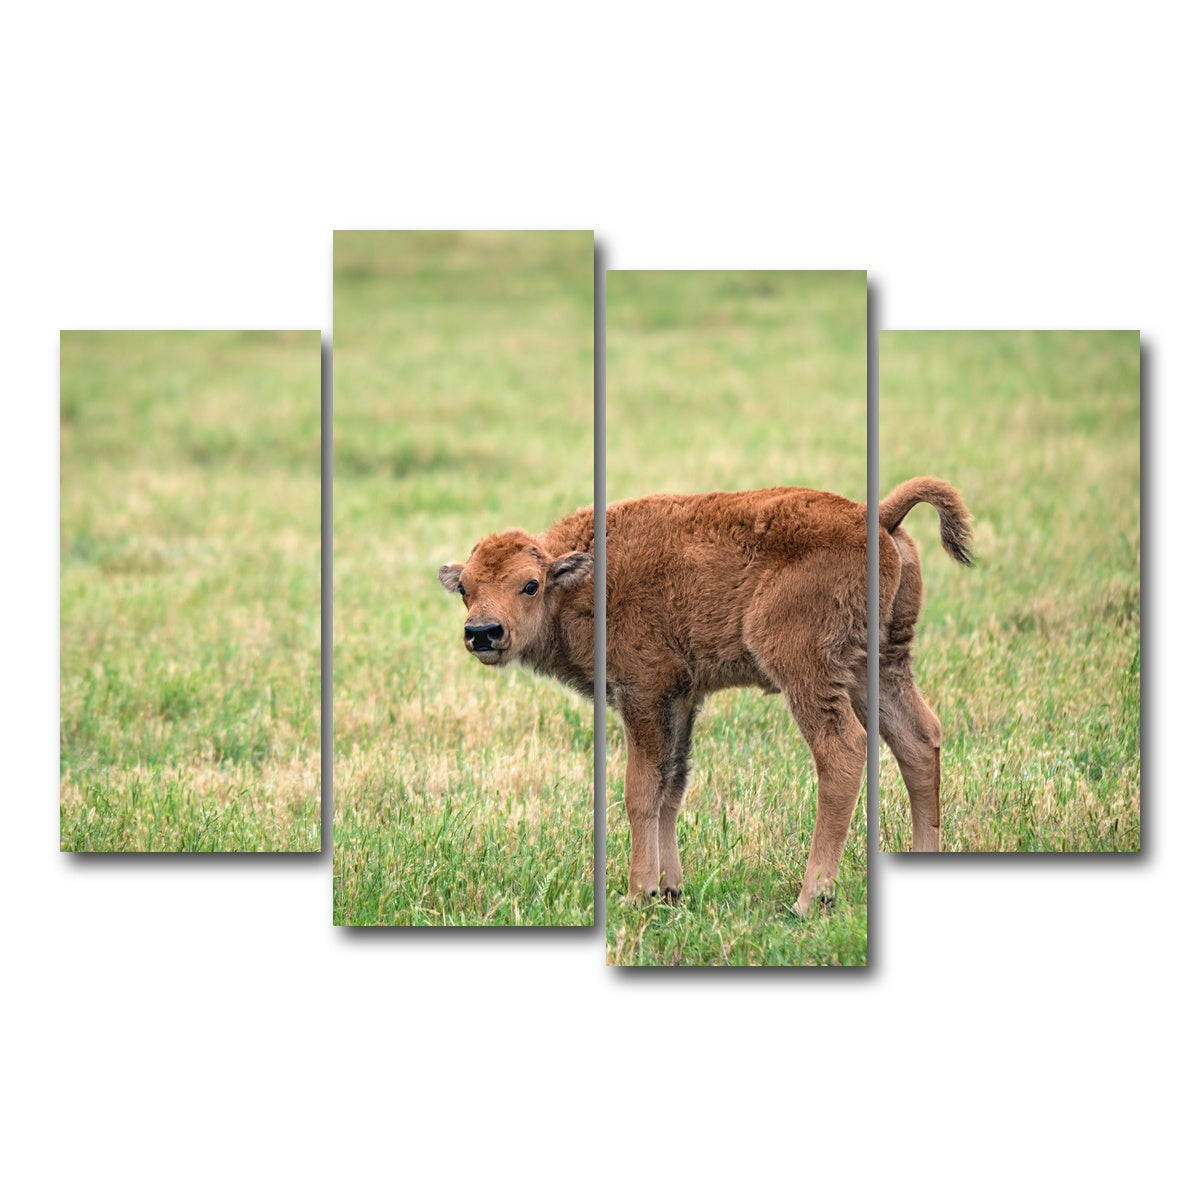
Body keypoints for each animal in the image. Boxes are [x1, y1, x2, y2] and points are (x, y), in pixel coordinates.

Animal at [439, 477, 972, 914]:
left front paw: (638, 893)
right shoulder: (681, 698)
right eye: (465, 588)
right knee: (918, 739)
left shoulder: (644, 692)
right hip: (878, 665)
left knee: (842, 752)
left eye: (530, 585)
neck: (580, 580)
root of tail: (878, 516)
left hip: (808, 670)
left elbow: (640, 790)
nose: (482, 632)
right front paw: (671, 890)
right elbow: (671, 786)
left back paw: (809, 899)